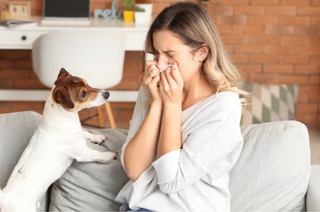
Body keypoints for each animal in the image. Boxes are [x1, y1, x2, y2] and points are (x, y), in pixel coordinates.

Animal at [0, 68, 116, 211]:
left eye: (87, 83)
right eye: (83, 93)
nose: (107, 93)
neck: (64, 119)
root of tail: (5, 198)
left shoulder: (79, 133)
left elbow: (85, 133)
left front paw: (97, 137)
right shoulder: (83, 153)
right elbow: (98, 154)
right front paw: (110, 154)